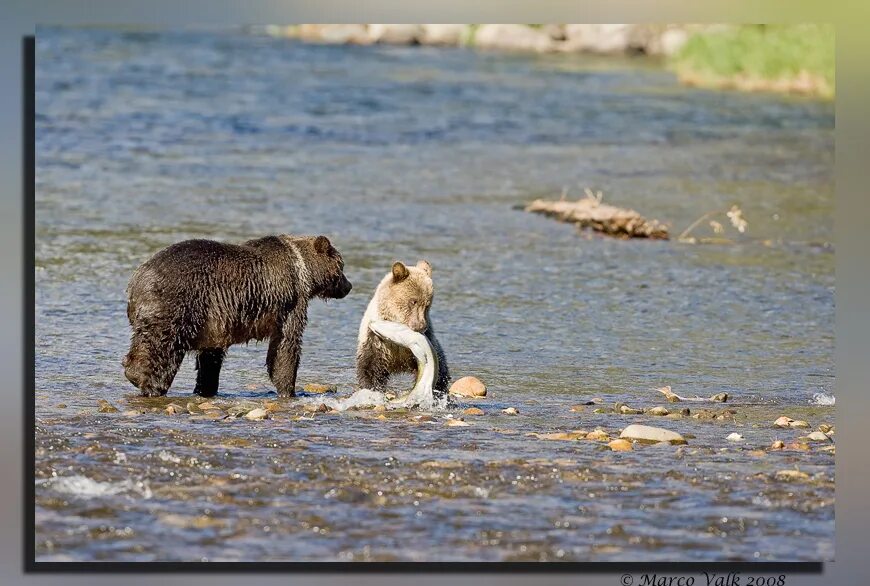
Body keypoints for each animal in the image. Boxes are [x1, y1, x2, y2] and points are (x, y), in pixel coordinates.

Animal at [123, 234, 354, 396]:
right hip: (177, 304)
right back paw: (149, 382)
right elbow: (285, 345)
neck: (303, 270)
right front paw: (289, 390)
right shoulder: (290, 302)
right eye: (342, 266)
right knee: (163, 347)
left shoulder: (214, 320)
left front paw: (206, 387)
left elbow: (210, 357)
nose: (349, 286)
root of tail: (137, 278)